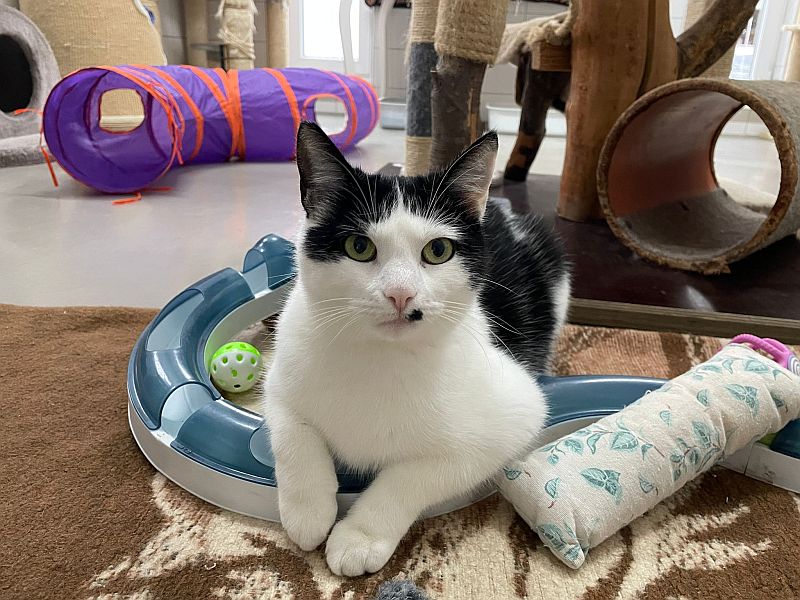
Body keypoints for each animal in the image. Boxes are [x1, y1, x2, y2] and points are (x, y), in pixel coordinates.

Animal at [262, 122, 571, 577]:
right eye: (359, 247)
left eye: (438, 250)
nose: (400, 294)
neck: (380, 357)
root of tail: (499, 208)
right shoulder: (281, 378)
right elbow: (293, 433)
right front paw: (308, 511)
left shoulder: (514, 416)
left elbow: (414, 475)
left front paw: (360, 537)